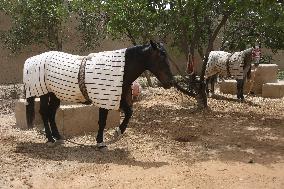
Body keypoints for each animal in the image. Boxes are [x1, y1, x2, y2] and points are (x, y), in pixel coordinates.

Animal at [24, 40, 174, 148]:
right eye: (161, 57)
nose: (171, 82)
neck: (121, 70)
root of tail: (31, 60)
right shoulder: (105, 99)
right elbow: (102, 121)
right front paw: (100, 142)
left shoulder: (118, 98)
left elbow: (129, 112)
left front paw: (118, 132)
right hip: (44, 93)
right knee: (44, 113)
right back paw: (50, 139)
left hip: (56, 94)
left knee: (51, 113)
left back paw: (58, 137)